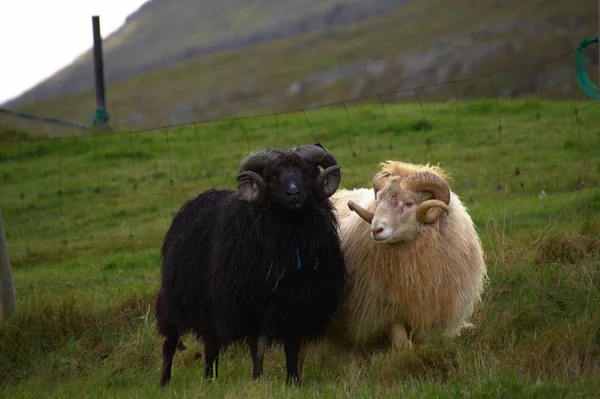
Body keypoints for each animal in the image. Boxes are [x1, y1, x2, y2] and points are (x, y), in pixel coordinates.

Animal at [155, 142, 346, 386]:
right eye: (272, 176)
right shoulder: (252, 305)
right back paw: (165, 383)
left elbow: (291, 347)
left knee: (211, 345)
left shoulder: (295, 305)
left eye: (308, 173)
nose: (294, 193)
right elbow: (258, 347)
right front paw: (257, 380)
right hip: (176, 299)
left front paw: (293, 381)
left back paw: (210, 380)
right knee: (170, 343)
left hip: (210, 307)